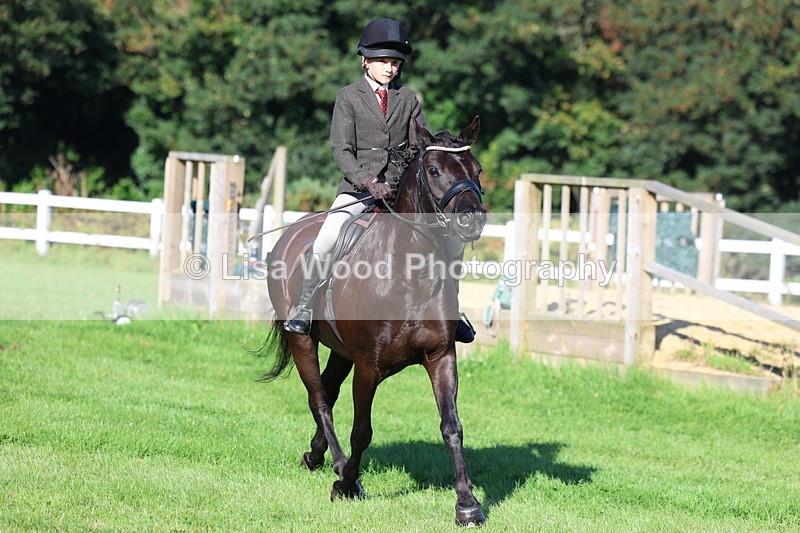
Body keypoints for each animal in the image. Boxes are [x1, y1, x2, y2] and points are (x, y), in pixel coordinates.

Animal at [259, 116, 487, 526]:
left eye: (476, 170)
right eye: (433, 170)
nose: (471, 220)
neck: (411, 273)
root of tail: (291, 232)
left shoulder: (441, 356)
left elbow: (452, 426)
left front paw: (467, 504)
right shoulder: (368, 366)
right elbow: (361, 431)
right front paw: (347, 486)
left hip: (340, 350)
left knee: (328, 390)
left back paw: (317, 456)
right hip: (303, 340)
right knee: (319, 398)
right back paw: (336, 464)